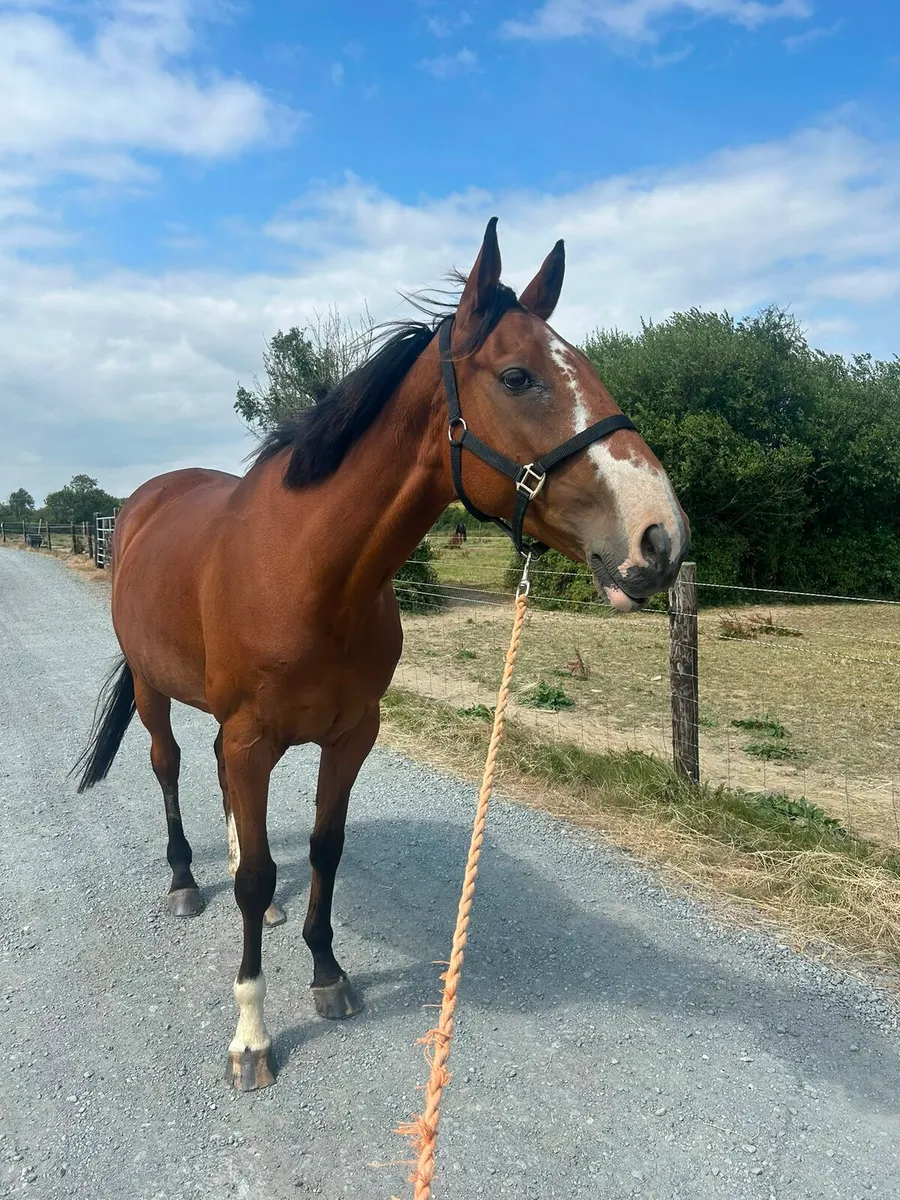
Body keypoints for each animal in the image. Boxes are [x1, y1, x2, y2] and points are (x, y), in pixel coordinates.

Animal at [73, 218, 689, 1091]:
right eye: (517, 376)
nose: (659, 539)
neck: (307, 574)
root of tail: (139, 506)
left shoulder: (350, 734)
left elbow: (324, 850)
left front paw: (327, 974)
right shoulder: (254, 738)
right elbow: (257, 869)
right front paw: (251, 1035)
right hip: (161, 698)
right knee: (170, 768)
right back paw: (188, 881)